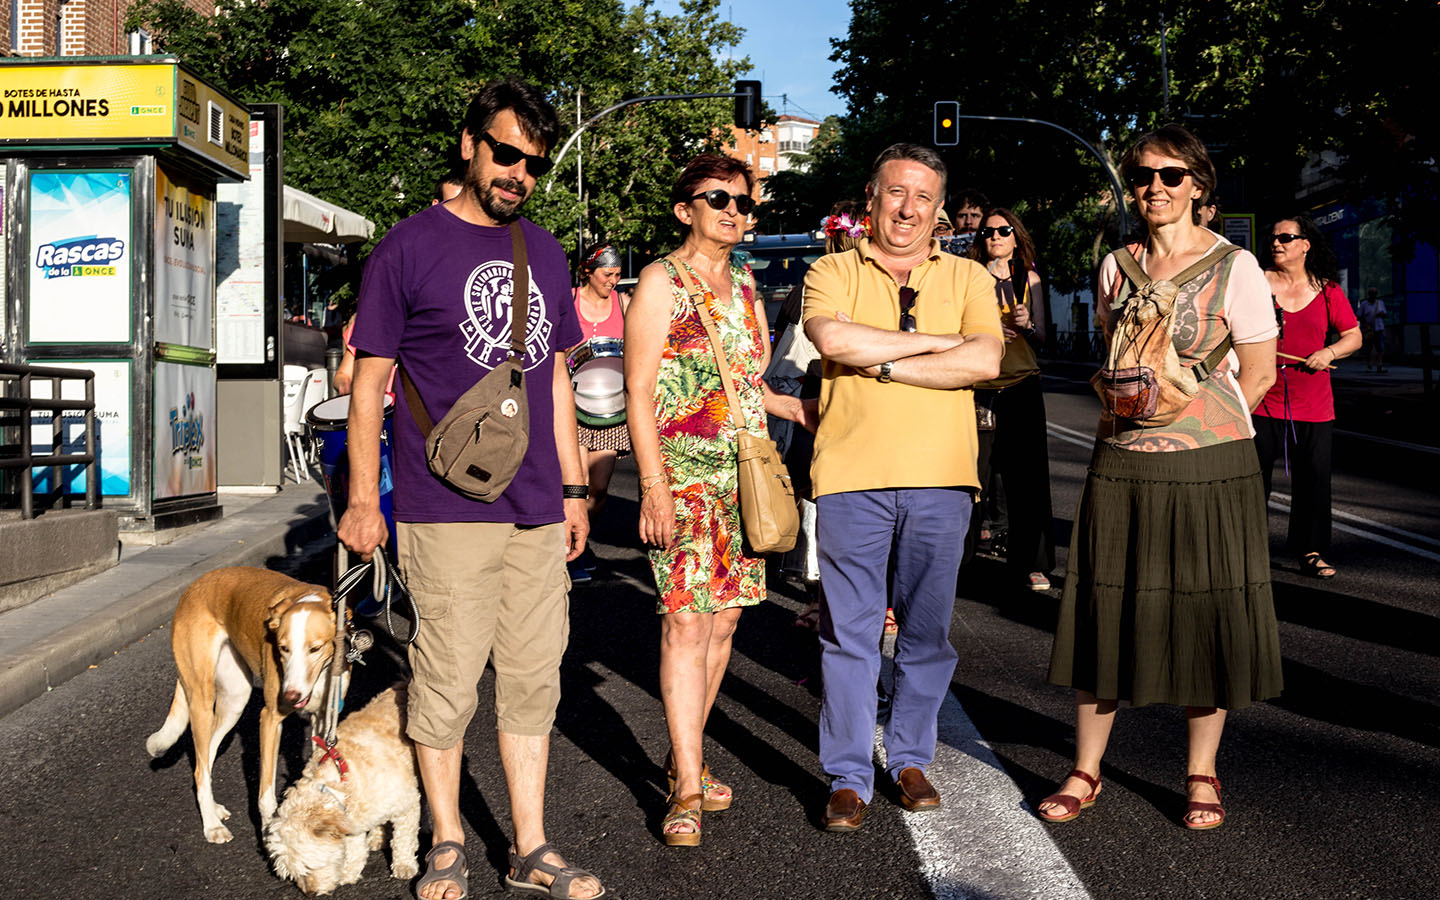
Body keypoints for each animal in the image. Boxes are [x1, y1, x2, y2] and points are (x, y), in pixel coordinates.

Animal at [144, 567, 349, 840]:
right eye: (283, 649)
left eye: (315, 649)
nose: (290, 696)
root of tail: (194, 586)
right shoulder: (270, 719)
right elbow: (265, 796)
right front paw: (269, 834)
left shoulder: (324, 720)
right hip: (202, 702)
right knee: (200, 768)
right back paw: (212, 825)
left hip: (235, 700)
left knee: (206, 757)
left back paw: (213, 809)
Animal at [266, 679, 420, 892]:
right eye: (293, 874)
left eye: (308, 867)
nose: (310, 893)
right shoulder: (353, 821)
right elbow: (354, 850)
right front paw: (349, 873)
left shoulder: (407, 805)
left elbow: (403, 839)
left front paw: (404, 865)